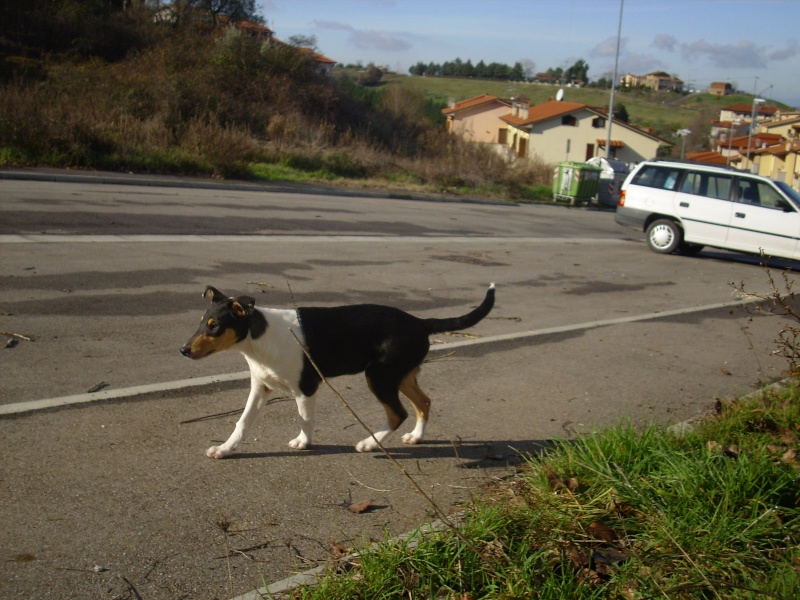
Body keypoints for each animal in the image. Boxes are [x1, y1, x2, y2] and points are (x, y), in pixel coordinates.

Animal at [180, 284, 494, 458]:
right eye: (201, 322)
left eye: (215, 326)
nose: (183, 350)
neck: (260, 339)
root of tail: (420, 322)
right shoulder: (261, 388)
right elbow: (242, 423)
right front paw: (224, 449)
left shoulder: (306, 388)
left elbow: (306, 419)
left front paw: (303, 443)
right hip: (401, 376)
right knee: (423, 403)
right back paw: (415, 437)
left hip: (379, 377)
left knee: (398, 413)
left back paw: (369, 444)